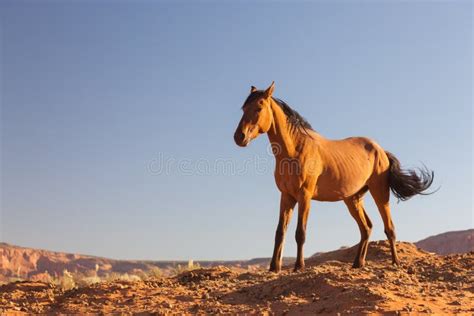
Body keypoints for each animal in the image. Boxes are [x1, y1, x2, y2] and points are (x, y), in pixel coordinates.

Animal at [232, 81, 434, 272]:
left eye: (259, 108)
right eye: (243, 108)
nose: (239, 137)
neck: (295, 149)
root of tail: (380, 150)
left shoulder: (304, 196)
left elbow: (300, 233)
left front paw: (299, 266)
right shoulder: (287, 196)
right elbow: (280, 232)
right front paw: (274, 267)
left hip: (380, 193)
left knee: (389, 227)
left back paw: (395, 262)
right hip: (353, 199)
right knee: (366, 228)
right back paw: (357, 263)